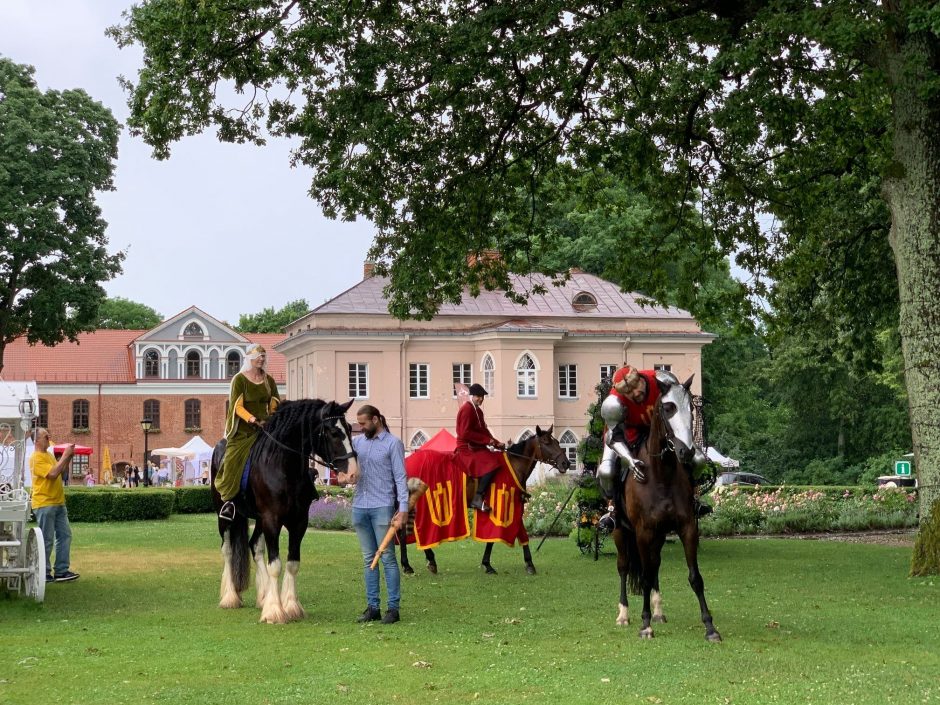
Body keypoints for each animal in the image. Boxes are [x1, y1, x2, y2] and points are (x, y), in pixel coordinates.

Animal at [211, 398, 358, 624]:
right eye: (333, 432)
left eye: (350, 428)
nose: (352, 474)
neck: (283, 466)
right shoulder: (272, 519)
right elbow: (276, 565)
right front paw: (274, 611)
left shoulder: (299, 521)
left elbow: (292, 563)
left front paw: (290, 606)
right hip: (226, 515)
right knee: (227, 550)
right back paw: (230, 597)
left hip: (259, 520)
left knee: (254, 546)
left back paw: (263, 596)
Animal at [398, 424, 568, 576]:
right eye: (546, 442)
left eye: (557, 442)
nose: (566, 463)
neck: (514, 464)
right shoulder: (503, 506)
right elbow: (494, 537)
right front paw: (491, 565)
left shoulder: (514, 505)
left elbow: (520, 532)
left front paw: (527, 563)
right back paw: (415, 564)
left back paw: (416, 563)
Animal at [612, 372, 724, 640]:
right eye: (668, 407)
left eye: (690, 409)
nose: (687, 452)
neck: (661, 475)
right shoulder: (643, 532)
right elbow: (643, 576)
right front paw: (644, 625)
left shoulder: (687, 528)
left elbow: (695, 577)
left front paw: (710, 627)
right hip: (621, 532)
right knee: (624, 567)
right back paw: (624, 614)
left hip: (660, 535)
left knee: (655, 565)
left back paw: (658, 611)